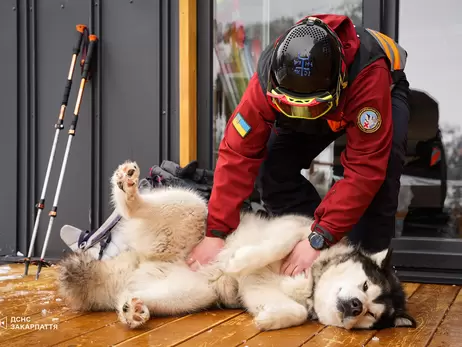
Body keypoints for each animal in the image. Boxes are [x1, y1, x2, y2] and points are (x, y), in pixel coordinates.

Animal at [56, 162, 416, 334]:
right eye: (366, 286)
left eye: (371, 315)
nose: (355, 306)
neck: (312, 280)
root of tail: (133, 262)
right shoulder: (294, 229)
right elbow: (275, 246)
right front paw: (240, 260)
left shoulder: (258, 291)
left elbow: (296, 312)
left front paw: (269, 320)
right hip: (192, 210)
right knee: (139, 207)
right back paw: (129, 190)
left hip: (192, 293)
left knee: (132, 296)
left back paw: (134, 311)